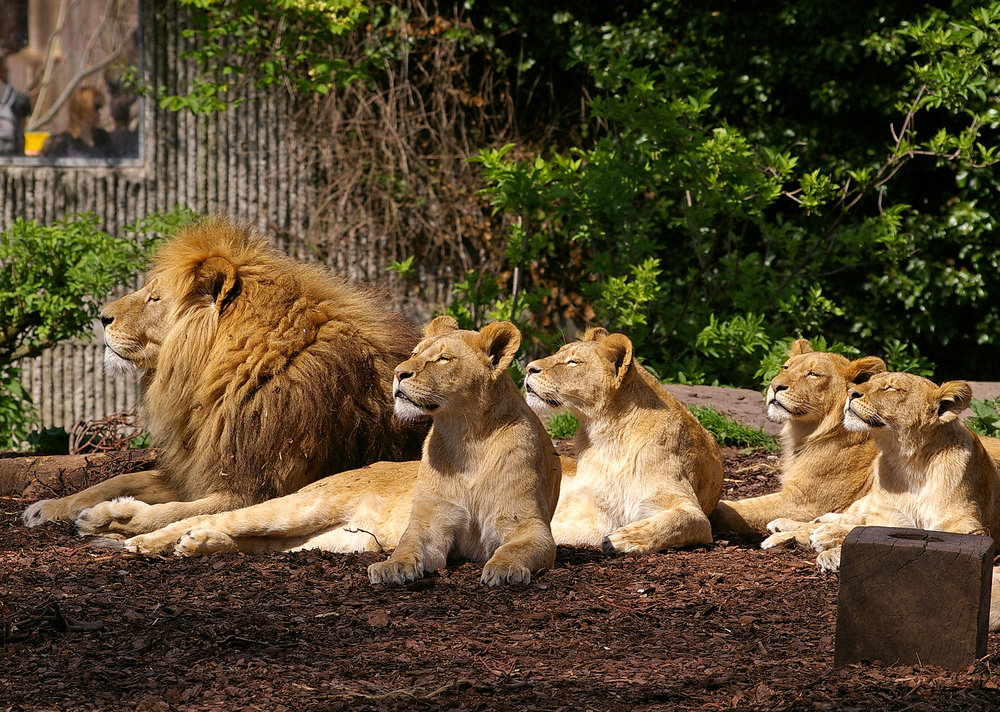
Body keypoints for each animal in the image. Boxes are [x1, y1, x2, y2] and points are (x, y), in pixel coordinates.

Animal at [22, 217, 425, 536]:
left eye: (155, 298)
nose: (103, 317)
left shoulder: (252, 490)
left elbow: (171, 512)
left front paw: (108, 518)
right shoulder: (196, 470)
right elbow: (117, 479)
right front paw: (49, 507)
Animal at [122, 317, 562, 587]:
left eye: (441, 359)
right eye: (415, 352)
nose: (399, 373)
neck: (466, 436)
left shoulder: (530, 525)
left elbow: (519, 547)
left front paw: (503, 569)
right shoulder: (430, 524)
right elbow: (410, 545)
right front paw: (393, 568)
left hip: (331, 540)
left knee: (256, 542)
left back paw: (197, 544)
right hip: (303, 507)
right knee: (220, 517)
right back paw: (146, 541)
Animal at [523, 327, 723, 553]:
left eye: (573, 362)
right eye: (558, 354)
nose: (528, 368)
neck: (607, 436)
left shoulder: (687, 506)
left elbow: (682, 520)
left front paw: (626, 538)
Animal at [708, 338, 886, 535]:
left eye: (813, 374)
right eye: (785, 367)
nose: (774, 385)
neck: (804, 434)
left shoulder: (805, 503)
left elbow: (737, 509)